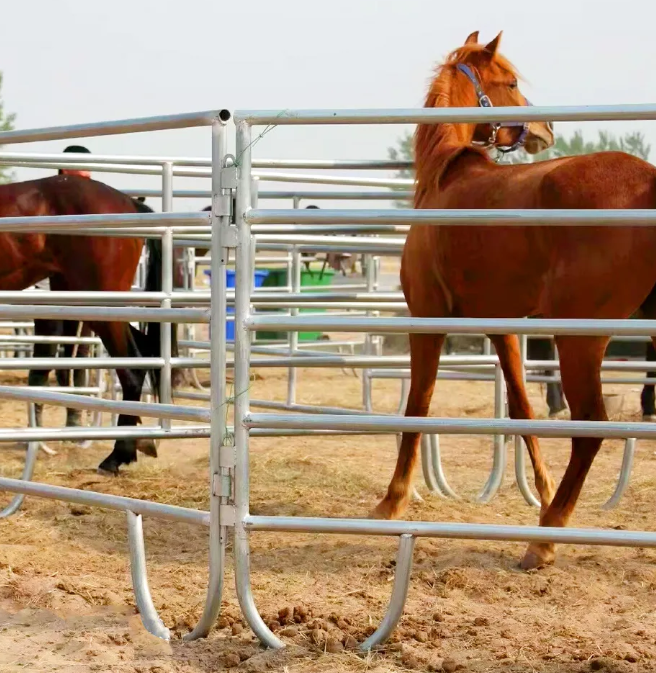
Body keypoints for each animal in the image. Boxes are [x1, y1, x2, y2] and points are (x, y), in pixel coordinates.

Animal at [372, 30, 656, 571]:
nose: (545, 129)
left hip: (581, 338)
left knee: (591, 426)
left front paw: (391, 501)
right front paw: (540, 493)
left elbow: (418, 405)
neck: (446, 178)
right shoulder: (501, 326)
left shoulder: (427, 318)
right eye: (511, 82)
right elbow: (523, 411)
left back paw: (545, 538)